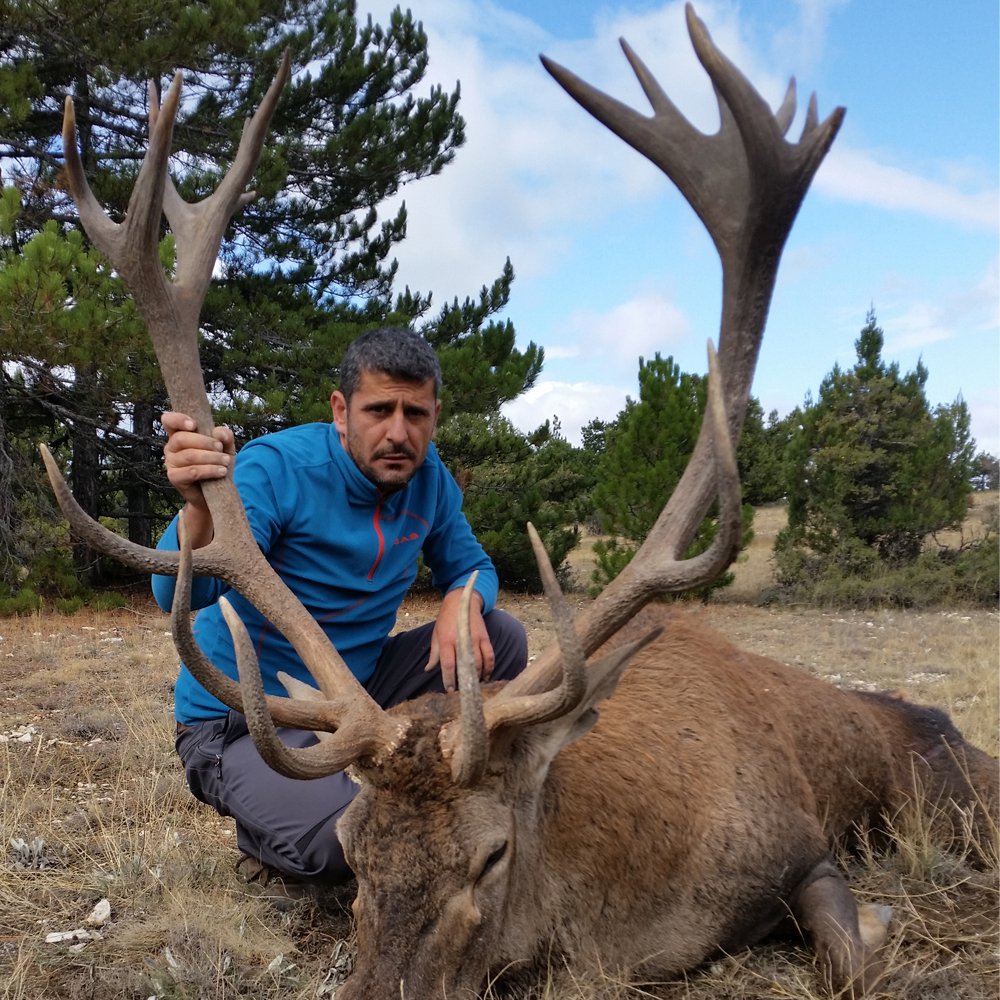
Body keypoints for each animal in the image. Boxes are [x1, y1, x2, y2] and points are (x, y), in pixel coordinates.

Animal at [39, 3, 992, 996]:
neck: (629, 908)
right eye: (352, 846)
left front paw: (879, 923)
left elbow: (847, 959)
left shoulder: (800, 845)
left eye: (491, 854)